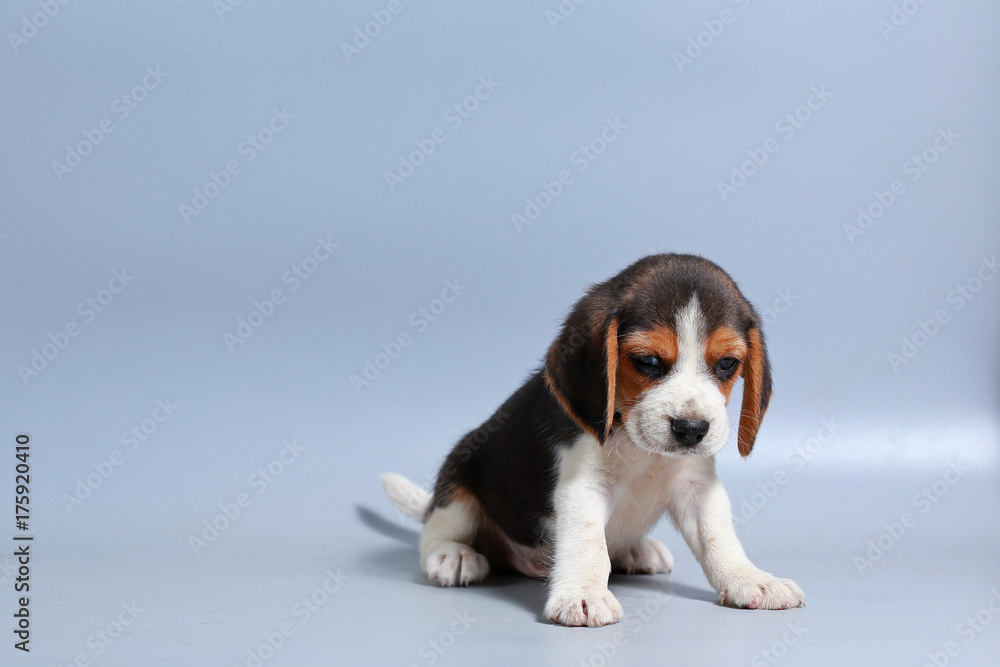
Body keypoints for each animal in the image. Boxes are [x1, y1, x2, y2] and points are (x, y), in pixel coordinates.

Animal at [380, 254, 804, 628]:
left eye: (727, 364)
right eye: (648, 361)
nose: (691, 429)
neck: (640, 448)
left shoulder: (699, 488)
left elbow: (720, 539)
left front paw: (750, 579)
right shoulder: (582, 486)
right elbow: (589, 545)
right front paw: (582, 594)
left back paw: (636, 549)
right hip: (459, 484)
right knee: (435, 532)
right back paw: (454, 555)